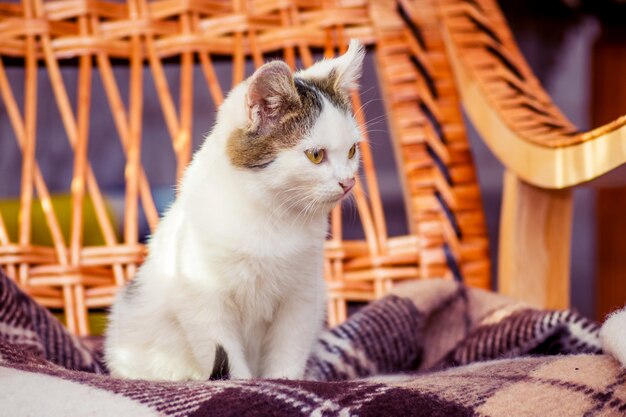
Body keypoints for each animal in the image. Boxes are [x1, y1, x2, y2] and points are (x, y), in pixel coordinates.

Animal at [104, 40, 364, 378]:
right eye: (316, 155)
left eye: (352, 150)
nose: (348, 182)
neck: (272, 214)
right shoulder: (202, 299)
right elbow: (225, 356)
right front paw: (243, 385)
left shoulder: (303, 295)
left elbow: (289, 349)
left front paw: (284, 382)